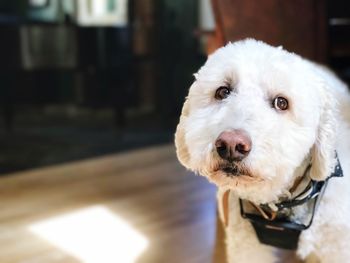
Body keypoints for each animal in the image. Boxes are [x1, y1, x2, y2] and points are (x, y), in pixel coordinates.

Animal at [176, 39, 350, 263]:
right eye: (223, 92)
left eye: (281, 102)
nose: (231, 145)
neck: (277, 207)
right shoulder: (246, 246)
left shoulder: (336, 246)